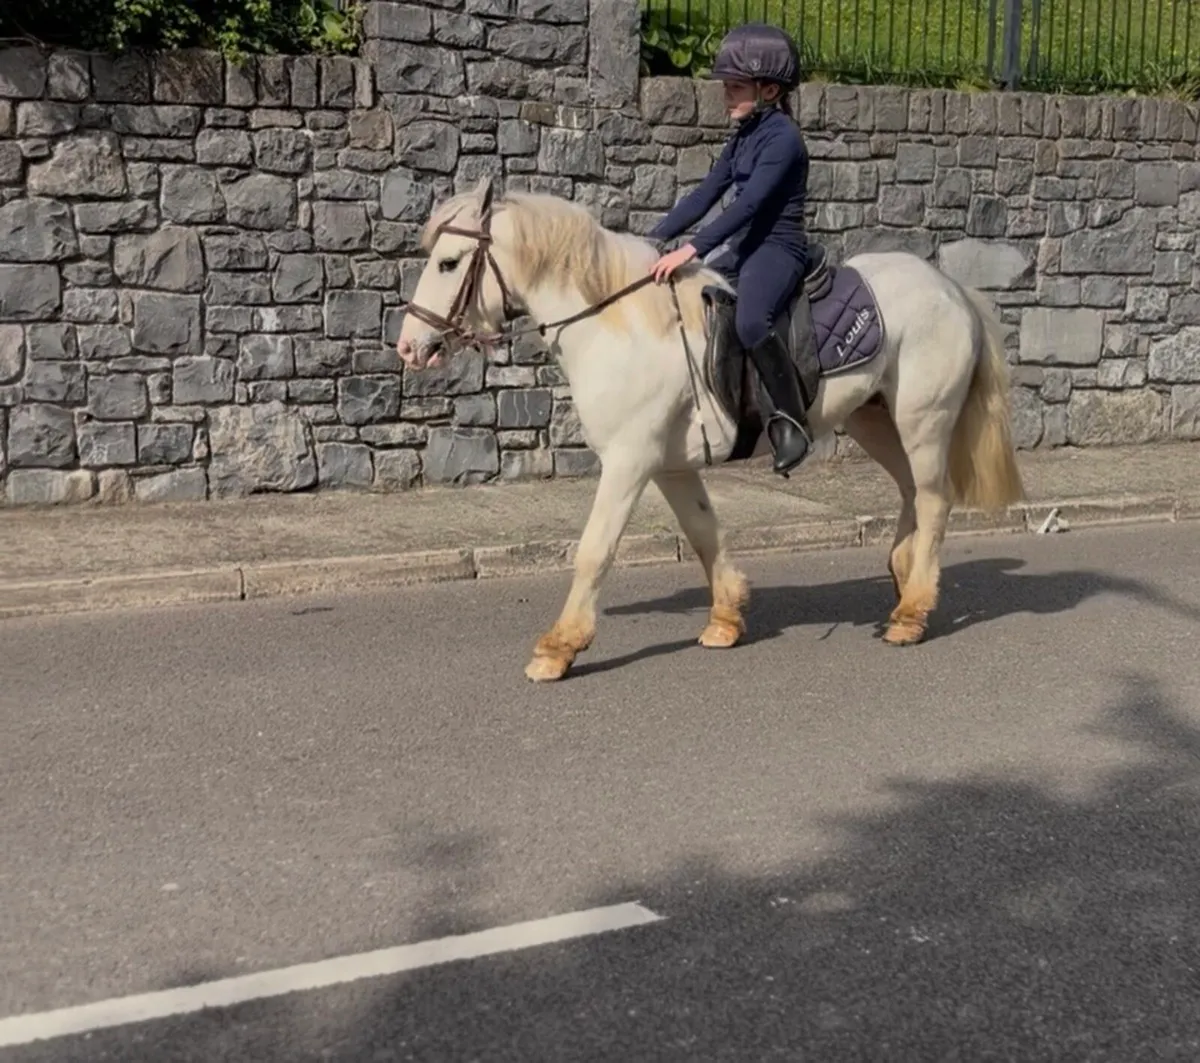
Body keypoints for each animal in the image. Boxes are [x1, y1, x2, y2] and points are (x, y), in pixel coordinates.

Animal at [396, 177, 1025, 683]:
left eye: (448, 263)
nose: (409, 347)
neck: (619, 325)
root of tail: (952, 289)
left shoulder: (629, 461)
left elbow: (595, 549)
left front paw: (559, 648)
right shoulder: (671, 466)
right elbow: (704, 535)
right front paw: (725, 618)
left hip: (924, 419)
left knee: (935, 498)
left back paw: (913, 612)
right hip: (874, 418)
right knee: (911, 491)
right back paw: (903, 575)